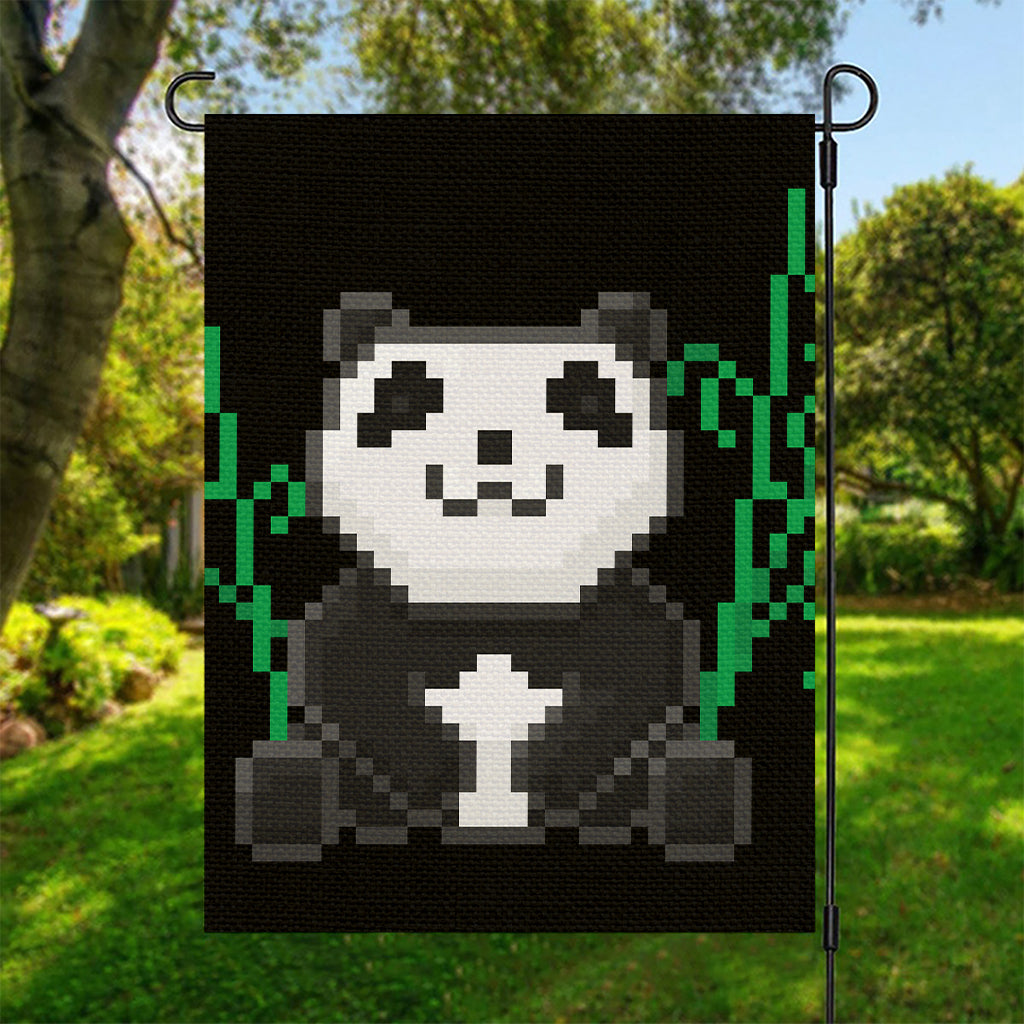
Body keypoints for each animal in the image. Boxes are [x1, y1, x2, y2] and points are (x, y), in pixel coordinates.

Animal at [236, 292, 750, 861]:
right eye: (406, 401)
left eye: (584, 402)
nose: (495, 442)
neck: (494, 585)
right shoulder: (379, 616)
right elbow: (350, 676)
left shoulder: (610, 618)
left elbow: (637, 679)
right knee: (298, 767)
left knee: (685, 766)